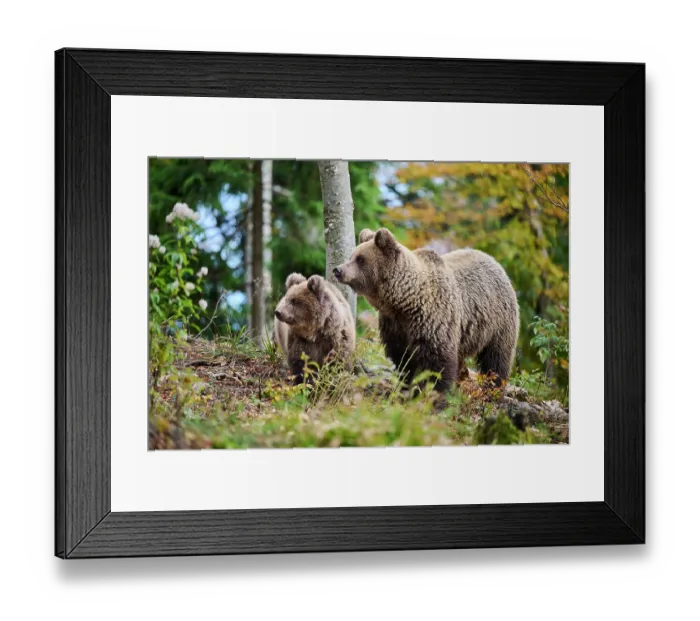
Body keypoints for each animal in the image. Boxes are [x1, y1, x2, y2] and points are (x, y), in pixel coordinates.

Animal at [333, 228, 519, 392]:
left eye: (360, 259)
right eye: (351, 256)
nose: (338, 270)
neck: (405, 301)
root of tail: (494, 261)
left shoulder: (434, 319)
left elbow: (437, 362)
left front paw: (435, 393)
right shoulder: (394, 325)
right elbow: (402, 359)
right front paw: (406, 387)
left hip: (498, 322)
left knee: (496, 358)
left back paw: (493, 387)